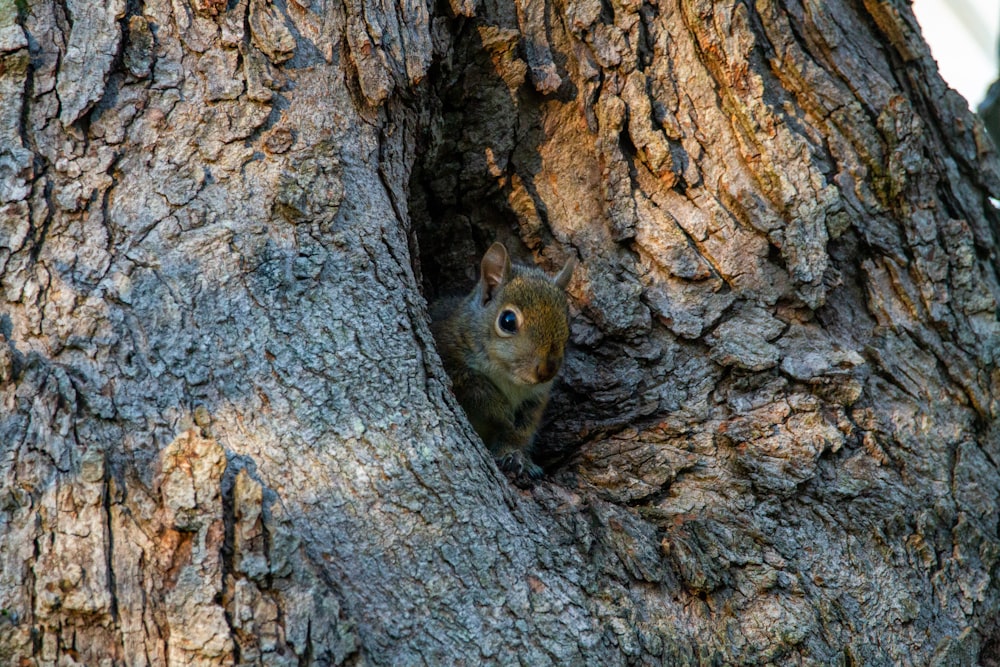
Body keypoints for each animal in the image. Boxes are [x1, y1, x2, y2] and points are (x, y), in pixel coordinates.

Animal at [432, 243, 580, 478]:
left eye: (569, 327)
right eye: (507, 321)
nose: (547, 370)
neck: (508, 379)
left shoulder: (535, 399)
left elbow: (520, 432)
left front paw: (513, 455)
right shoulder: (450, 355)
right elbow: (477, 389)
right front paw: (501, 412)